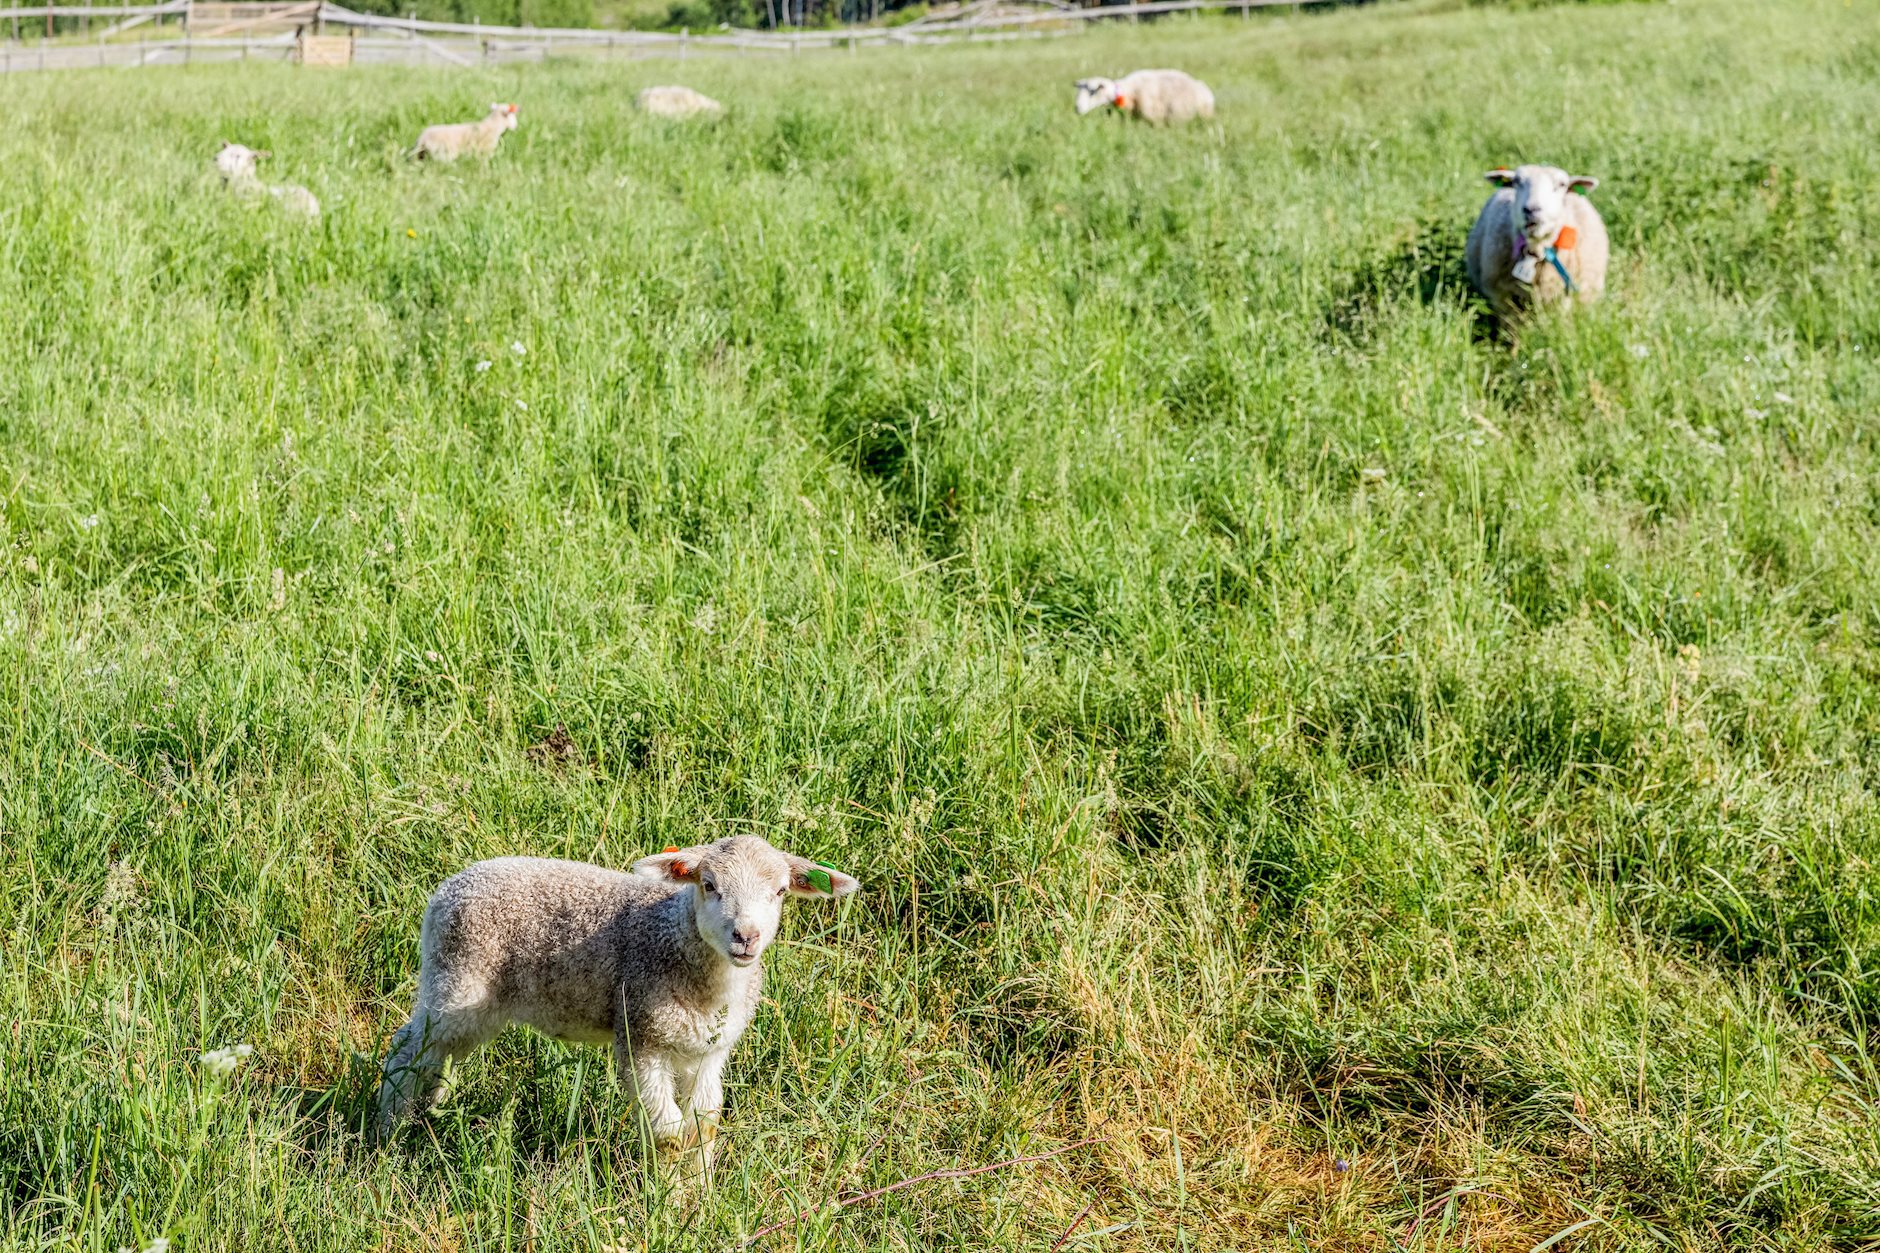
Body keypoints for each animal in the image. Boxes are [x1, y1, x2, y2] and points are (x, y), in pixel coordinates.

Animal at [376, 827, 861, 1173]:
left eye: (779, 891)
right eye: (708, 885)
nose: (746, 936)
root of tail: (448, 888)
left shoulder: (709, 1050)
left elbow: (703, 1126)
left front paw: (701, 1193)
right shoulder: (641, 1036)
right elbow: (669, 1134)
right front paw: (669, 1203)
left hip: (471, 1001)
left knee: (438, 1053)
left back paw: (430, 1107)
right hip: (457, 979)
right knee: (407, 1048)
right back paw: (388, 1132)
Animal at [1458, 161, 1609, 317]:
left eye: (1562, 184)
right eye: (1517, 182)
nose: (1531, 209)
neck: (1536, 248)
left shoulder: (1562, 297)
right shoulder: (1501, 295)